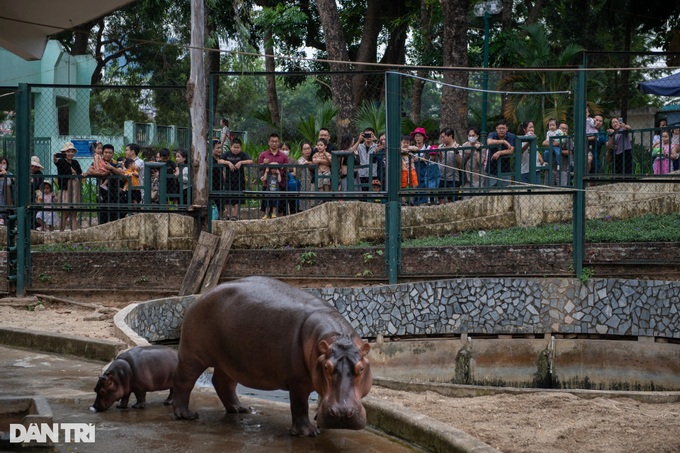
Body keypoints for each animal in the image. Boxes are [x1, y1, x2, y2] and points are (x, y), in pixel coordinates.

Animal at [171, 276, 372, 434]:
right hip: (193, 356)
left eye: (361, 368)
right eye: (326, 367)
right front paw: (308, 432)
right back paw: (186, 415)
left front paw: (317, 418)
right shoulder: (298, 382)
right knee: (183, 381)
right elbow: (300, 405)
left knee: (222, 383)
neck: (337, 337)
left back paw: (240, 409)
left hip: (230, 361)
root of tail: (196, 300)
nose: (341, 414)